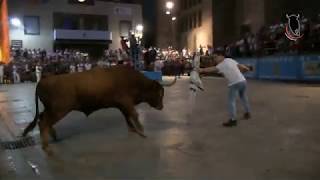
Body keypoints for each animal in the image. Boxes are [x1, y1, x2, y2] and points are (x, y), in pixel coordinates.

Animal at [23, 66, 175, 153]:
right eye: (159, 93)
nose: (161, 107)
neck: (132, 80)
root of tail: (42, 81)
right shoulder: (126, 102)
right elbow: (134, 114)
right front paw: (142, 131)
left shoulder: (122, 105)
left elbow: (128, 117)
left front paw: (133, 130)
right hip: (58, 110)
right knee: (43, 122)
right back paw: (46, 147)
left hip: (52, 110)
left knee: (42, 118)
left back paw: (54, 136)